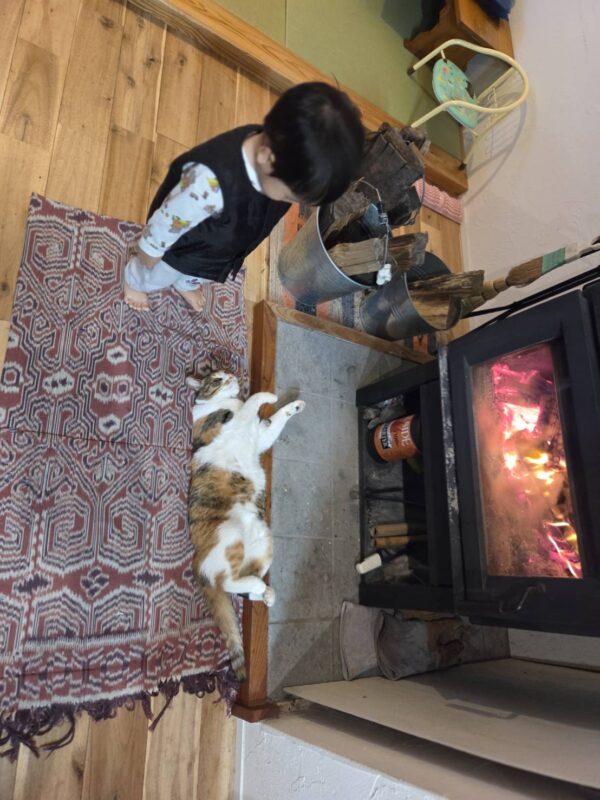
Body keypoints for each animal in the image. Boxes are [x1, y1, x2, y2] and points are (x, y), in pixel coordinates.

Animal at [186, 370, 305, 681]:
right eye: (215, 379)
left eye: (224, 372)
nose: (229, 376)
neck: (226, 403)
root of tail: (196, 562)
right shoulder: (231, 421)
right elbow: (253, 401)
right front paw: (269, 396)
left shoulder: (261, 436)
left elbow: (274, 421)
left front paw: (295, 405)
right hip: (230, 536)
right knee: (227, 581)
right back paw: (260, 588)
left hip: (264, 540)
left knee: (242, 585)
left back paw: (267, 593)